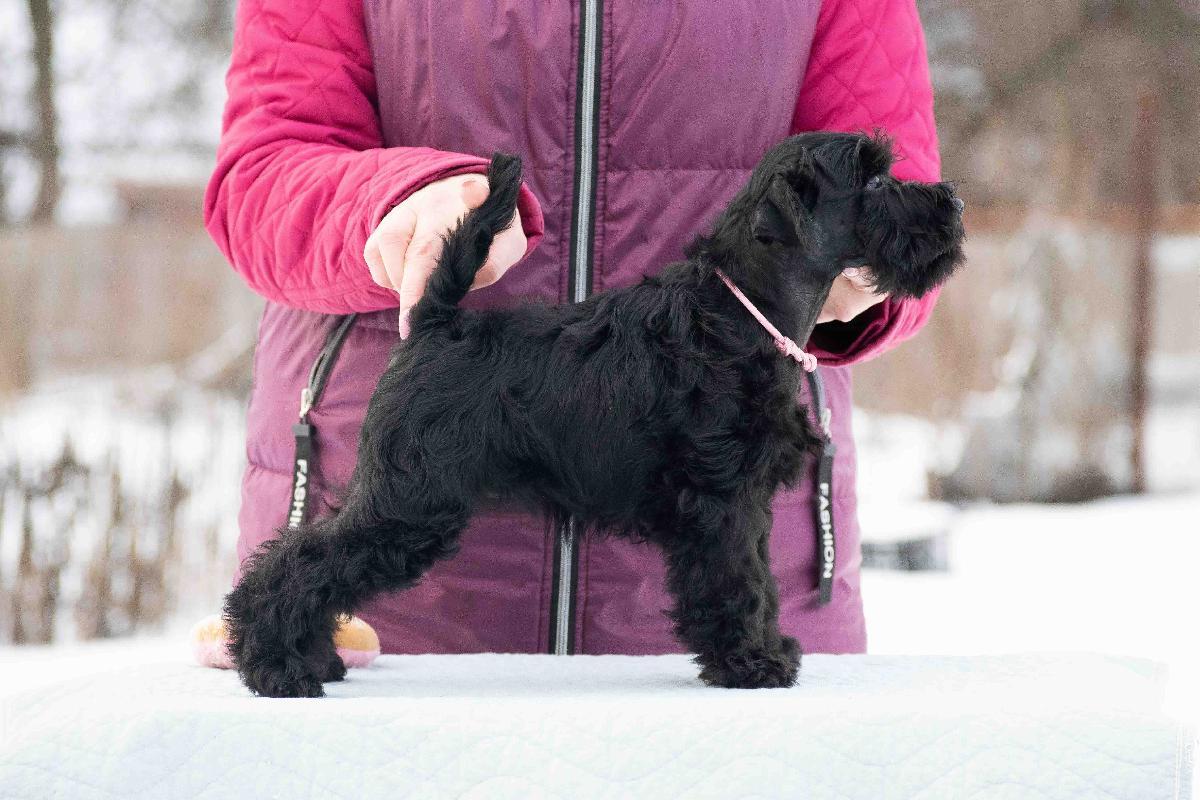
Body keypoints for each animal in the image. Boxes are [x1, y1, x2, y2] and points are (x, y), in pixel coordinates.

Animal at [225, 132, 965, 697]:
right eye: (873, 180)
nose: (952, 200)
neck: (741, 312)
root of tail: (436, 324)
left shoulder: (745, 502)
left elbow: (757, 578)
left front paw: (766, 649)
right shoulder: (721, 499)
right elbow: (736, 581)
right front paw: (750, 664)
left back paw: (311, 657)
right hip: (410, 503)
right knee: (299, 562)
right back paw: (276, 667)